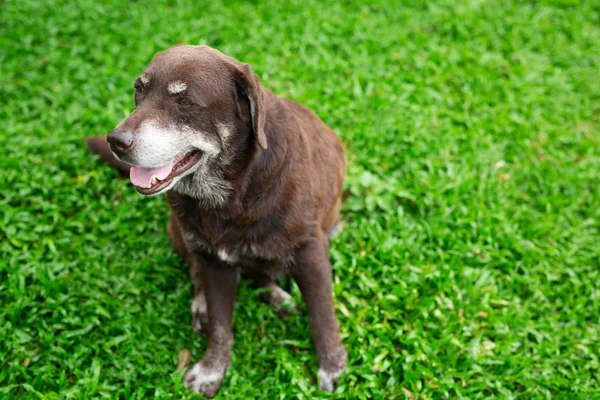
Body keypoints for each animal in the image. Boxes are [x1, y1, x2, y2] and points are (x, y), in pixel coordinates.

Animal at [86, 44, 344, 396]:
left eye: (184, 101)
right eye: (139, 90)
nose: (116, 141)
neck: (235, 194)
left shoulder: (310, 250)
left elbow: (322, 314)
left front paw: (332, 366)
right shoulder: (214, 261)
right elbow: (221, 326)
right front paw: (212, 370)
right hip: (179, 231)